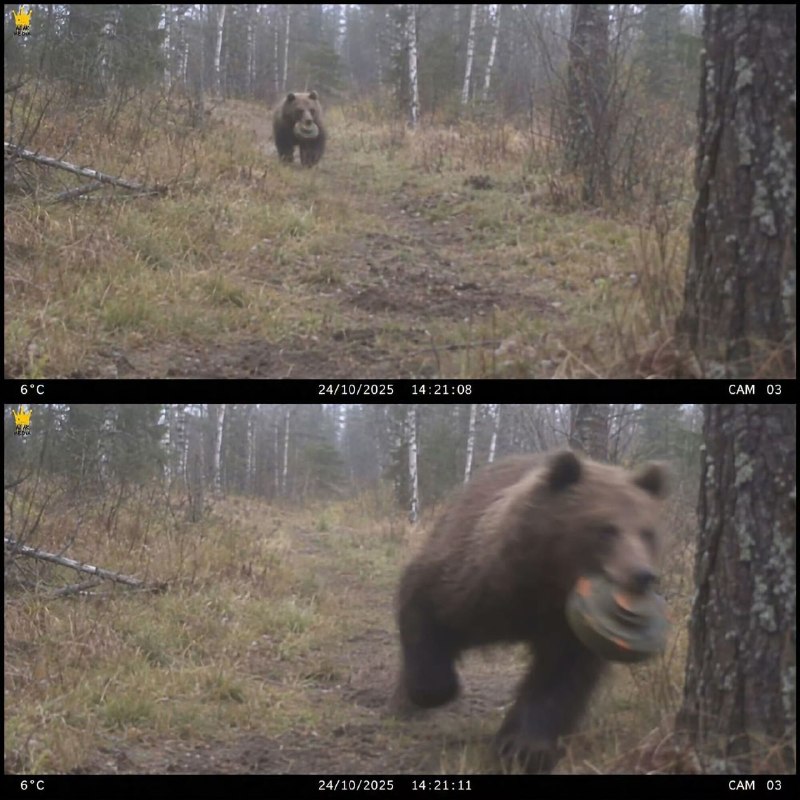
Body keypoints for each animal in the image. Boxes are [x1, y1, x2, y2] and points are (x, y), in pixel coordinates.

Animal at [394, 450, 669, 773]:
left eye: (647, 532)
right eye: (606, 529)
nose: (642, 575)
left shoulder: (568, 627)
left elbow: (558, 679)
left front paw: (524, 748)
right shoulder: (474, 583)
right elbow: (425, 605)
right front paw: (434, 691)